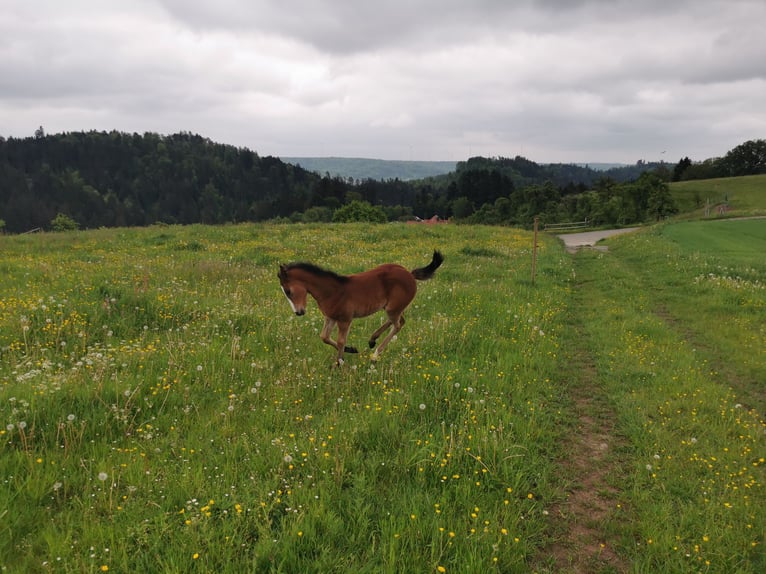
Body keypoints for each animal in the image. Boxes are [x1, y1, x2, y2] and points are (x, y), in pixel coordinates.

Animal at [278, 250, 443, 365]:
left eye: (288, 291)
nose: (298, 312)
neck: (331, 291)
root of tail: (409, 274)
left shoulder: (345, 319)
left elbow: (340, 341)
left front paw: (339, 363)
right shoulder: (330, 317)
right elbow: (324, 337)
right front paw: (351, 350)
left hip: (393, 308)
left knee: (397, 325)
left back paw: (375, 355)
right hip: (393, 307)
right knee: (400, 321)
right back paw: (372, 340)